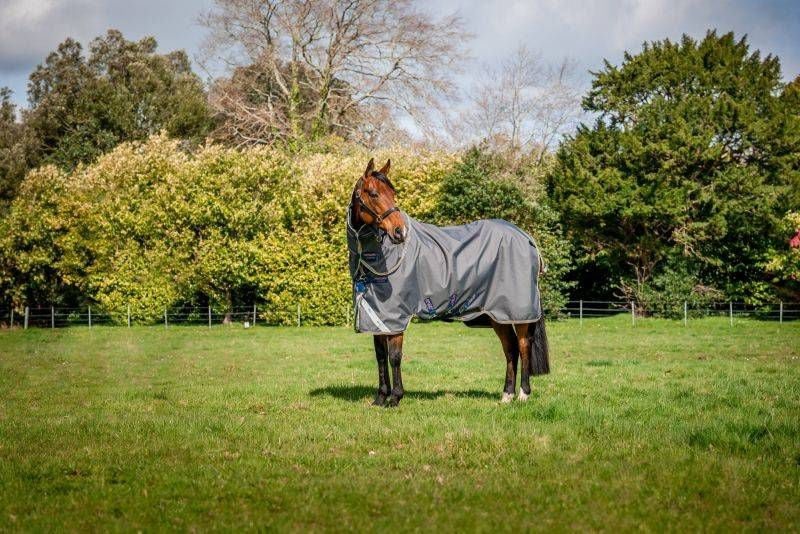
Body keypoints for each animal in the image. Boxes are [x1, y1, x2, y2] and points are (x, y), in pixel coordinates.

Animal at [347, 158, 549, 407]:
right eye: (374, 193)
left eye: (393, 194)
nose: (399, 232)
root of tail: (526, 237)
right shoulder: (379, 317)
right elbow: (380, 356)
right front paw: (380, 398)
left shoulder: (396, 317)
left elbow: (394, 357)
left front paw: (395, 398)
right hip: (498, 314)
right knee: (510, 349)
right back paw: (506, 395)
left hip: (519, 312)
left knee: (522, 346)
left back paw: (523, 394)